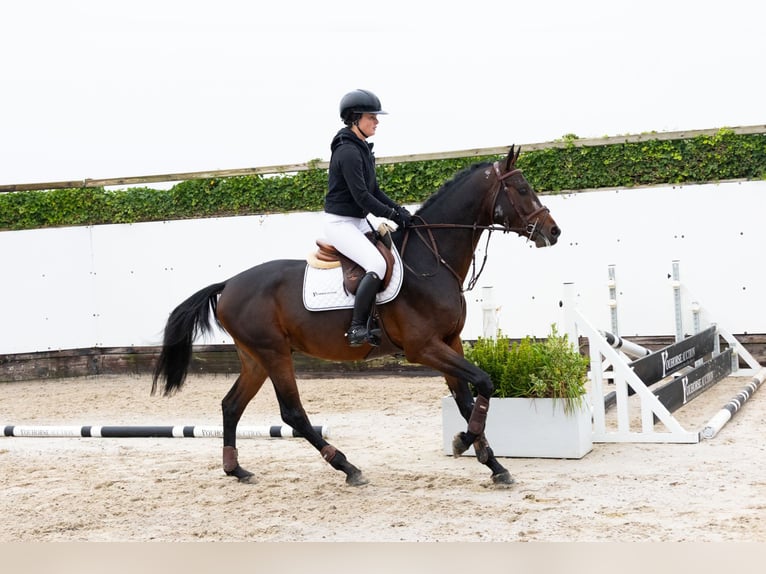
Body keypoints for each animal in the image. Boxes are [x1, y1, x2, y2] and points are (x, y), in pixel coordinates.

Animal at [151, 146, 561, 487]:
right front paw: (465, 443)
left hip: (254, 357)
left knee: (232, 405)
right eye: (521, 189)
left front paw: (492, 462)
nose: (553, 232)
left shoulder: (450, 341)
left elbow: (467, 399)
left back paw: (236, 469)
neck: (432, 260)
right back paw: (347, 467)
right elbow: (484, 383)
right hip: (274, 353)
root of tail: (230, 283)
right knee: (292, 413)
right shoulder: (424, 348)